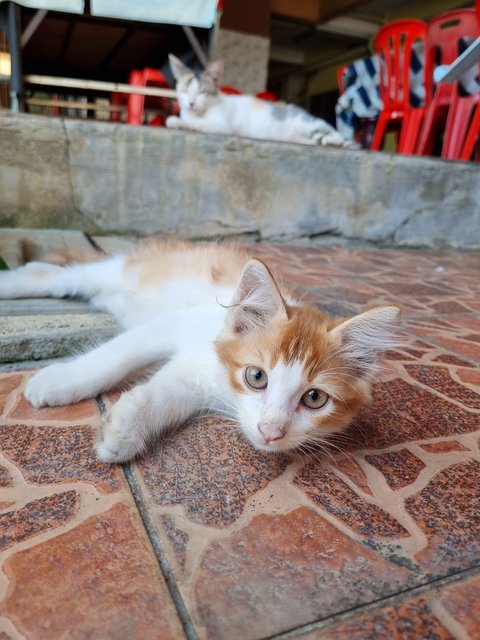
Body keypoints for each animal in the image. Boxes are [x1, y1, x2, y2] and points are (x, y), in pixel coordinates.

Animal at [0, 239, 400, 460]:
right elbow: (113, 357)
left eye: (315, 398)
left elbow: (159, 398)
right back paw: (13, 282)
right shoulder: (173, 323)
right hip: (122, 273)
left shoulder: (193, 378)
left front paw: (123, 433)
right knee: (56, 276)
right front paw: (60, 380)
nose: (272, 432)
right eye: (257, 377)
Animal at [167, 55, 346, 148]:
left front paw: (177, 122)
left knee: (338, 136)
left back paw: (330, 140)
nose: (191, 103)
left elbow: (198, 124)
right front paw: (179, 120)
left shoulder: (222, 126)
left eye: (202, 92)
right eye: (184, 91)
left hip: (306, 124)